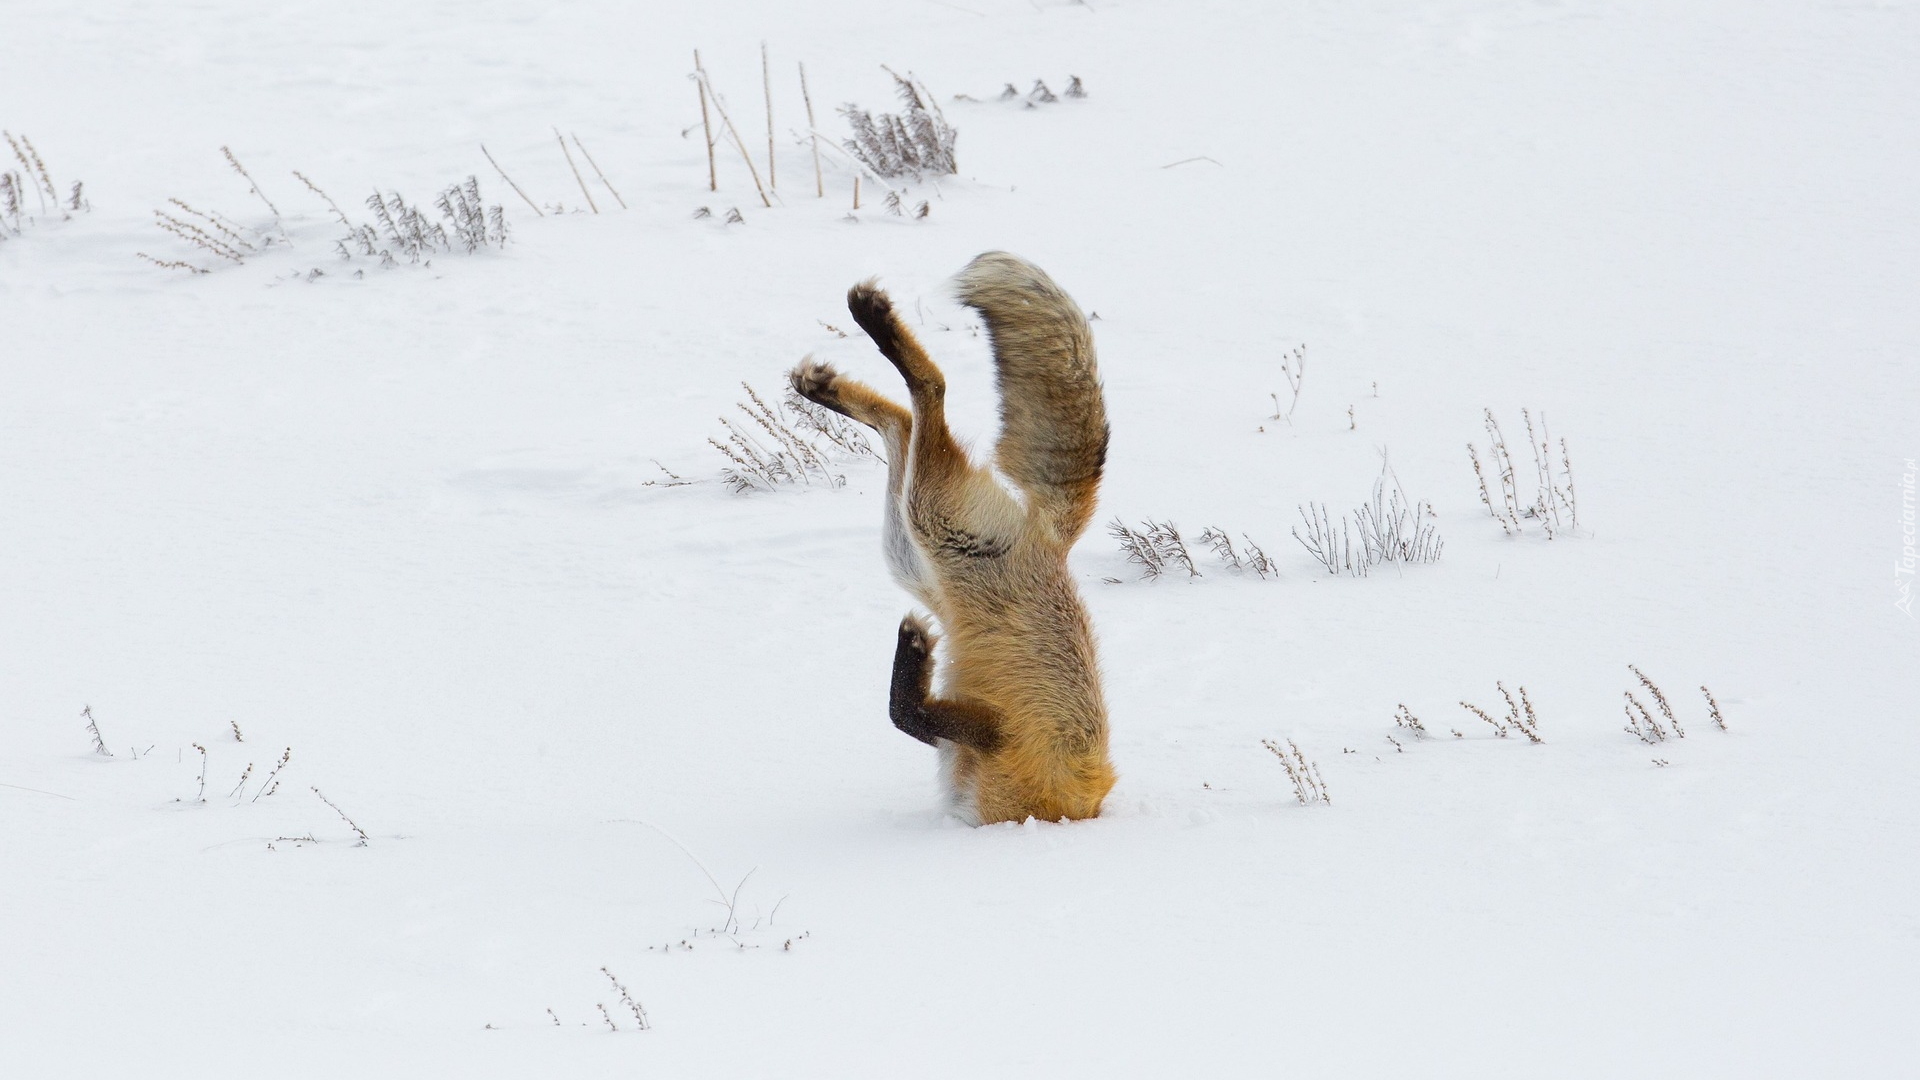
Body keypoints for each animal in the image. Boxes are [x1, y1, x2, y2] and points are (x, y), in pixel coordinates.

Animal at [791, 253, 1121, 822]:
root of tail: (1052, 537)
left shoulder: (998, 738)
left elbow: (907, 714)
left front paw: (913, 649)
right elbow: (907, 715)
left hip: (929, 526)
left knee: (925, 396)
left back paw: (864, 333)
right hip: (916, 540)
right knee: (907, 415)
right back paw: (831, 373)